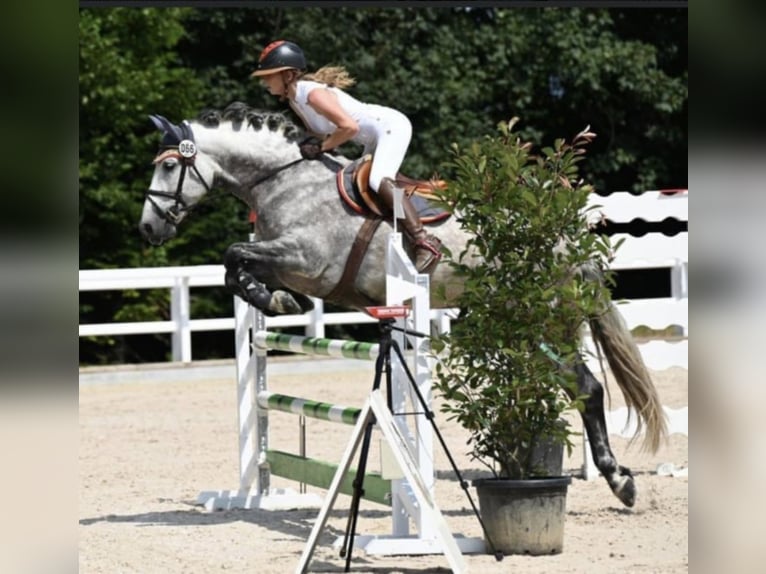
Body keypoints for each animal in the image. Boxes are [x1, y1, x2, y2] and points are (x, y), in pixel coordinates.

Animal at [141, 103, 668, 508]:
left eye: (168, 166)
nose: (148, 228)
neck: (283, 182)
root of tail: (564, 240)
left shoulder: (306, 259)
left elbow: (234, 255)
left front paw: (267, 295)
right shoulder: (290, 262)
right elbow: (243, 269)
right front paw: (274, 298)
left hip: (540, 319)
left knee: (586, 387)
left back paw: (620, 481)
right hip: (533, 328)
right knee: (584, 387)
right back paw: (619, 481)